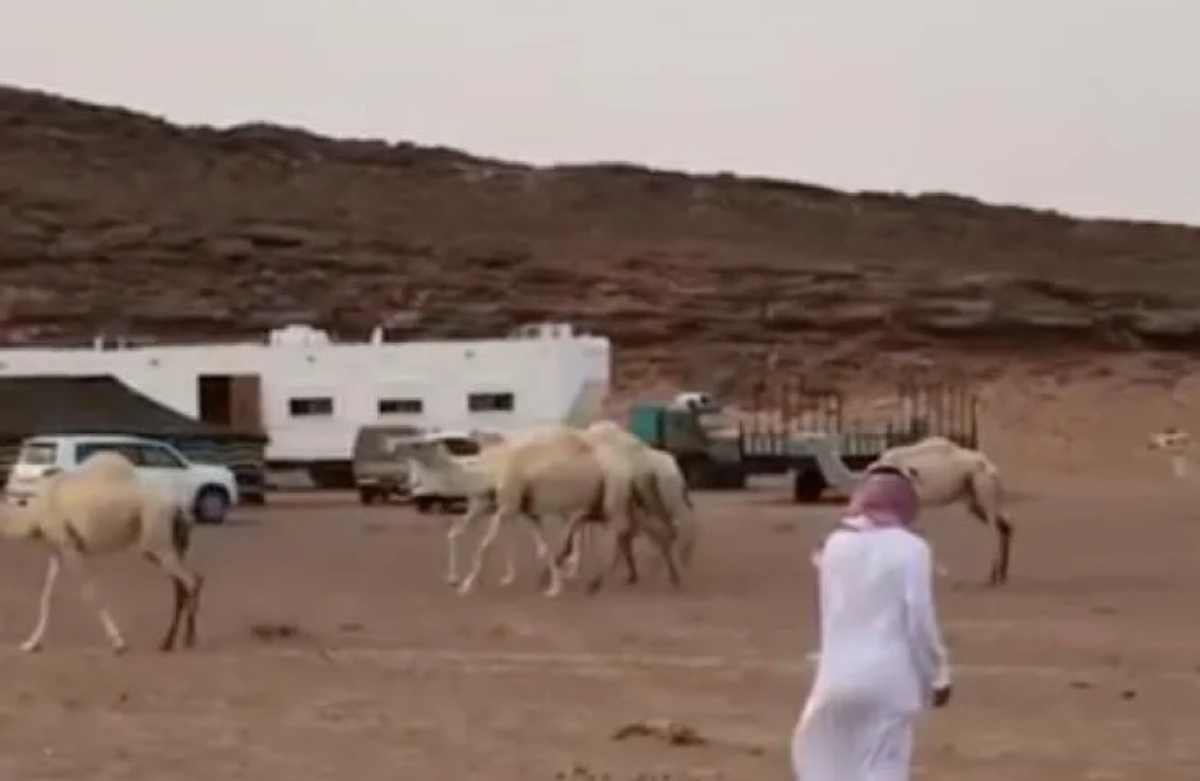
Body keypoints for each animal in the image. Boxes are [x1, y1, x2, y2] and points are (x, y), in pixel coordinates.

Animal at [2, 448, 205, 657]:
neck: (33, 511)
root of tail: (178, 507)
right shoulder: (56, 548)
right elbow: (46, 595)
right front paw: (31, 643)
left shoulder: (70, 546)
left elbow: (89, 593)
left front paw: (119, 643)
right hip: (162, 545)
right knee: (185, 582)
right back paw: (169, 642)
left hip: (156, 535)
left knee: (190, 581)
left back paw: (189, 639)